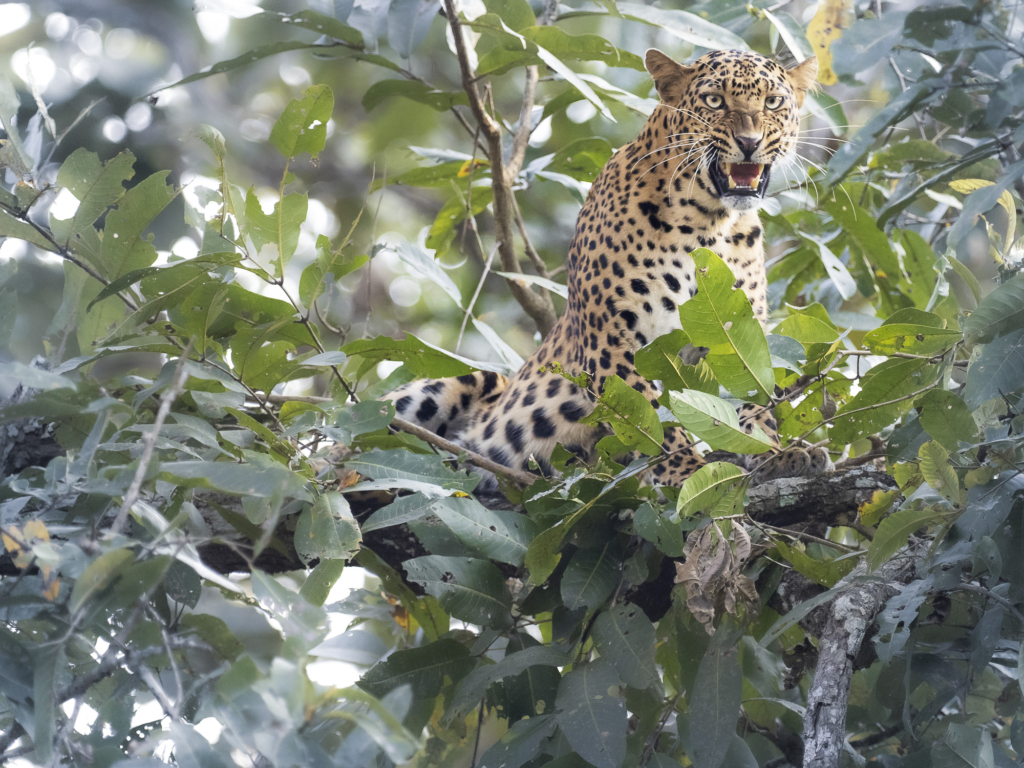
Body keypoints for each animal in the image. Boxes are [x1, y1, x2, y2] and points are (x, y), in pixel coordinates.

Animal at [385, 49, 831, 493]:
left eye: (773, 102)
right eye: (714, 101)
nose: (750, 143)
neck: (709, 224)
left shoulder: (736, 333)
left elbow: (754, 401)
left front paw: (774, 455)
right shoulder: (613, 343)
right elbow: (652, 418)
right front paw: (686, 472)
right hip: (451, 389)